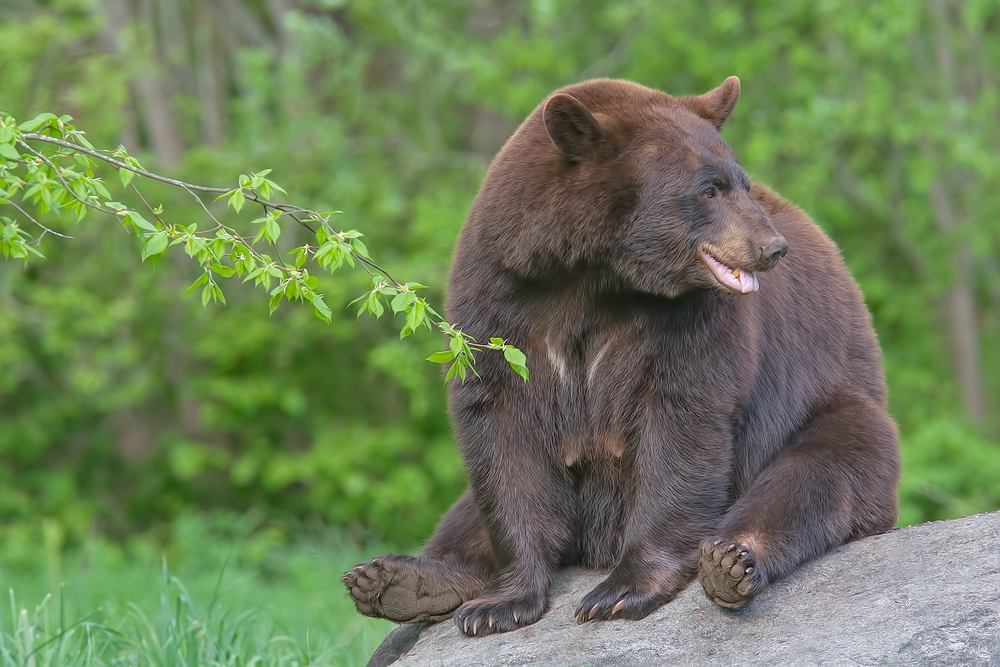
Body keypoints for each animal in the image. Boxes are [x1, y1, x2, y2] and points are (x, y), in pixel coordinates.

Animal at [344, 77, 900, 636]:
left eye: (740, 183)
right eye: (709, 189)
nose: (772, 247)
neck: (593, 274)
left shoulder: (691, 322)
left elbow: (682, 423)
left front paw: (620, 591)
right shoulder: (501, 296)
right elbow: (500, 426)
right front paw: (501, 602)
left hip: (829, 406)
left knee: (813, 475)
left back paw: (731, 560)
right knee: (464, 514)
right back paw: (398, 580)